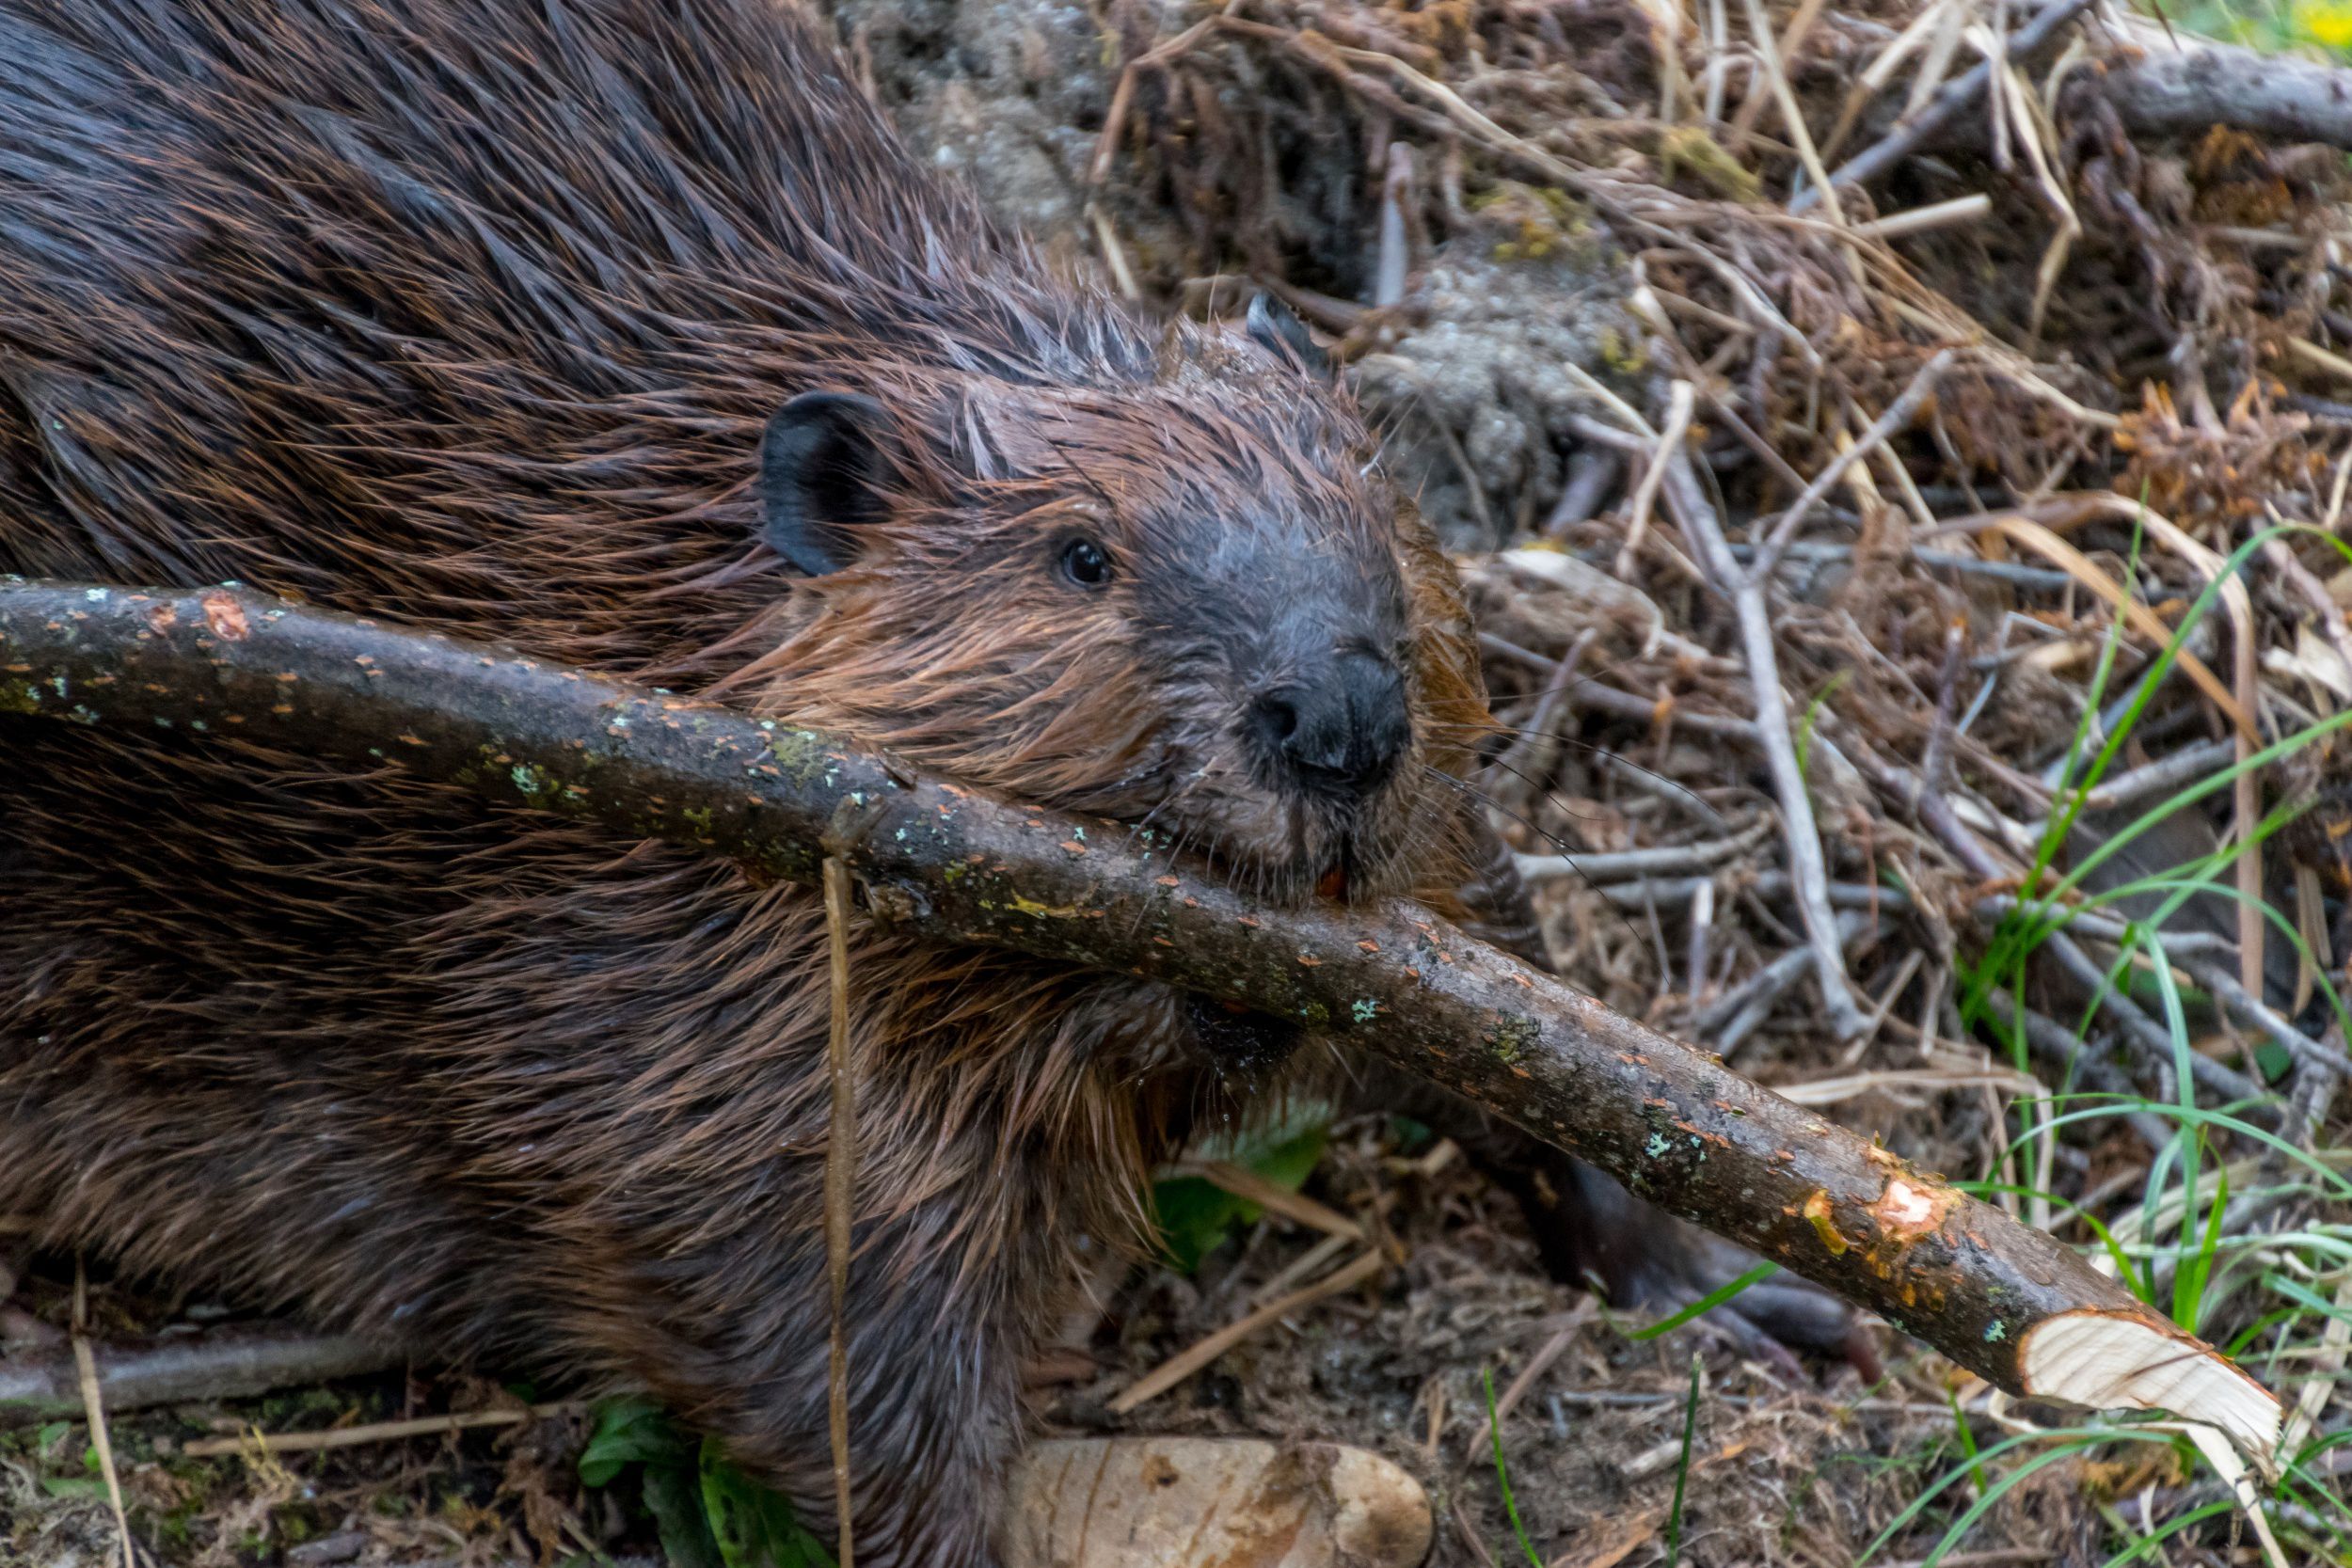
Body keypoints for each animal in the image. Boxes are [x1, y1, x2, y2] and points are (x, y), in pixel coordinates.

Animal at [0, 0, 1835, 1551]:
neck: (642, 575)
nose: (1339, 716)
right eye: (1082, 554)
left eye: (1369, 490)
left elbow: (1520, 995)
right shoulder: (646, 996)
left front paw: (1756, 1287)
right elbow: (817, 1334)